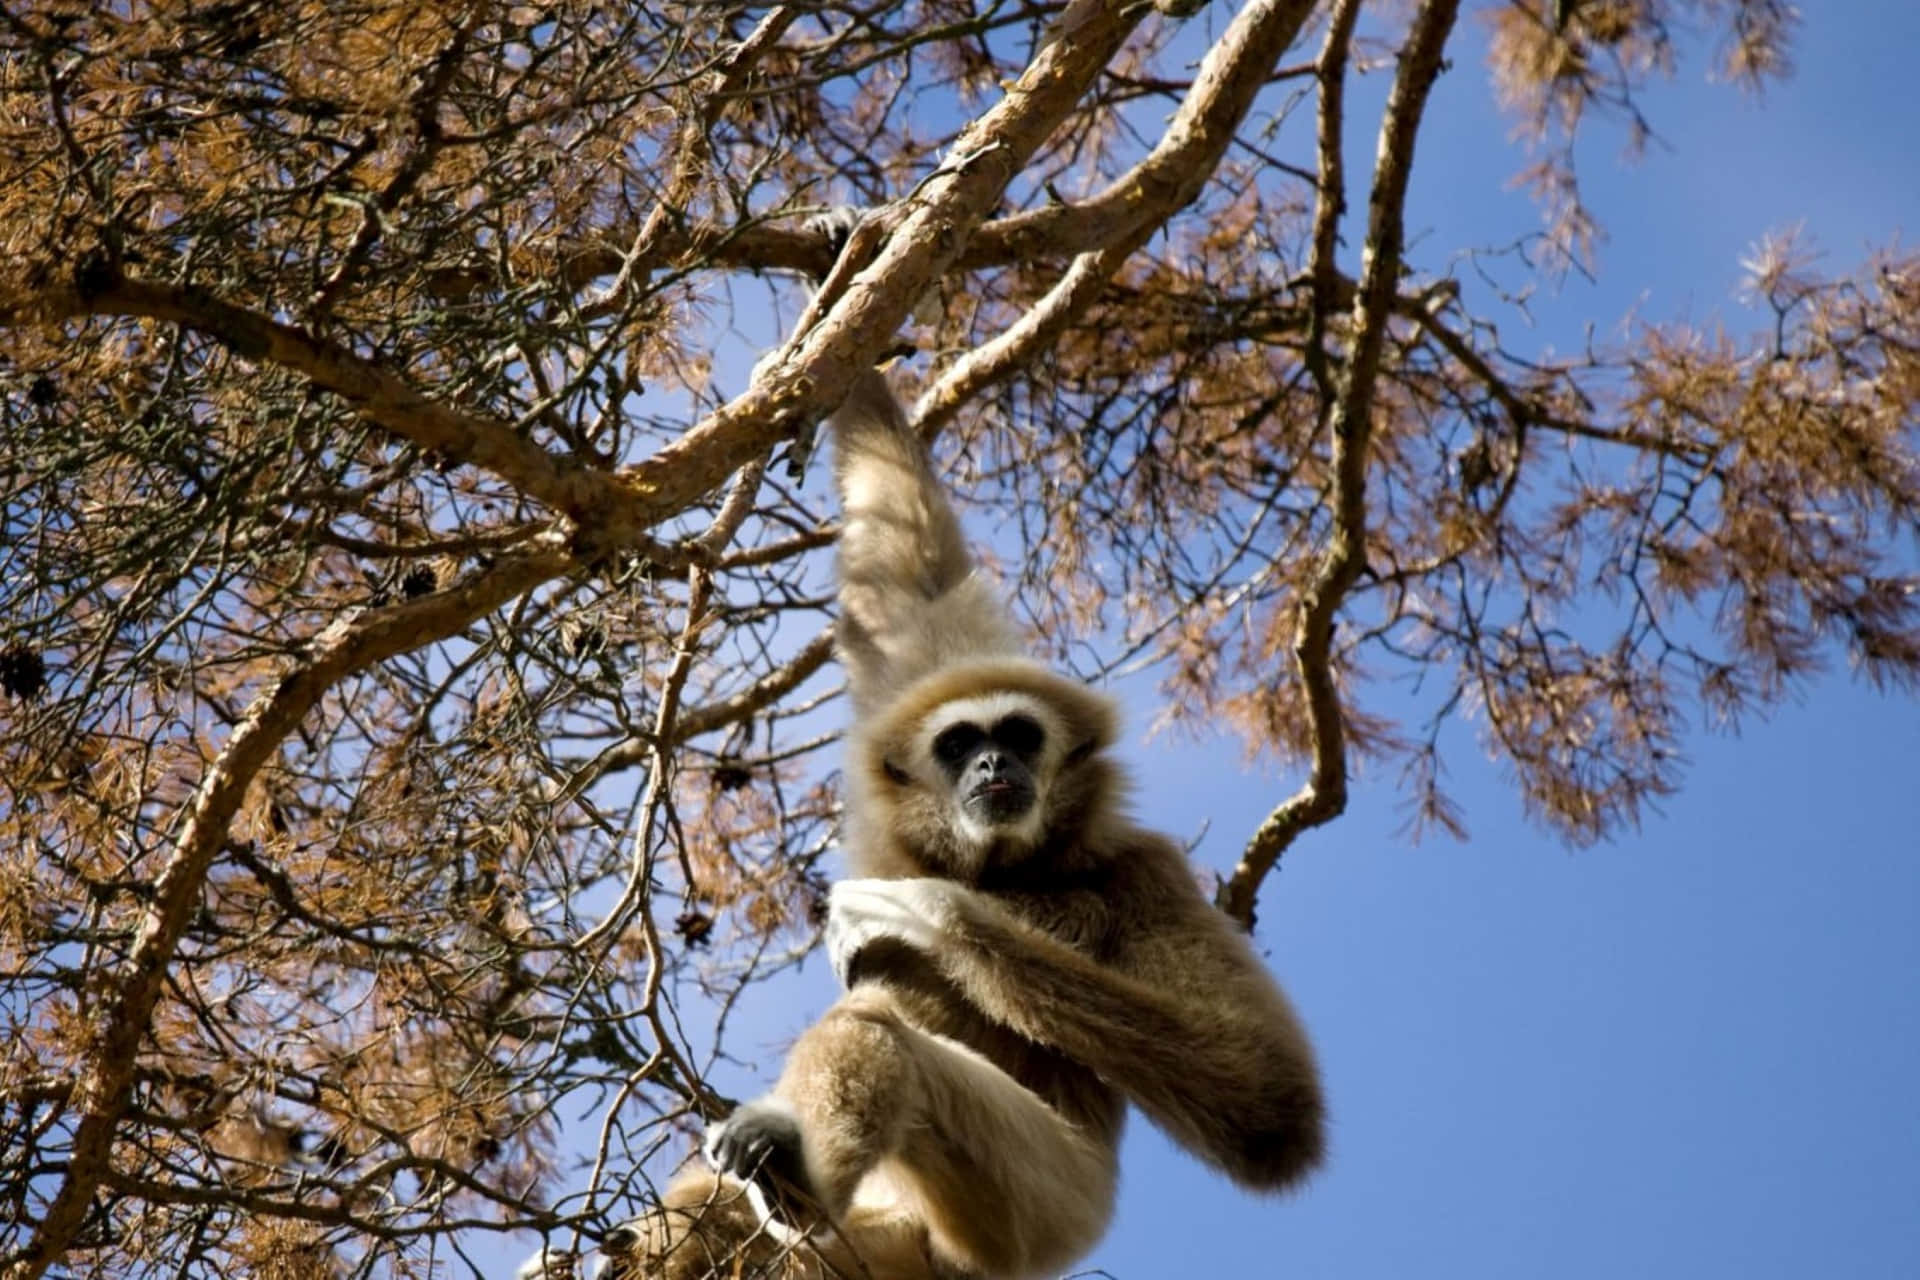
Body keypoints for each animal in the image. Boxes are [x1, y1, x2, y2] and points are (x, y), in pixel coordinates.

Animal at [606, 224, 1325, 1280]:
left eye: (1018, 735)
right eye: (959, 744)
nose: (994, 768)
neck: (1005, 868)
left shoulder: (1145, 871)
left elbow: (1269, 1102)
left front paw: (931, 915)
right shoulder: (909, 716)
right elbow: (909, 567)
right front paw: (850, 323)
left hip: (1035, 1216)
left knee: (883, 1041)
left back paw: (790, 1168)